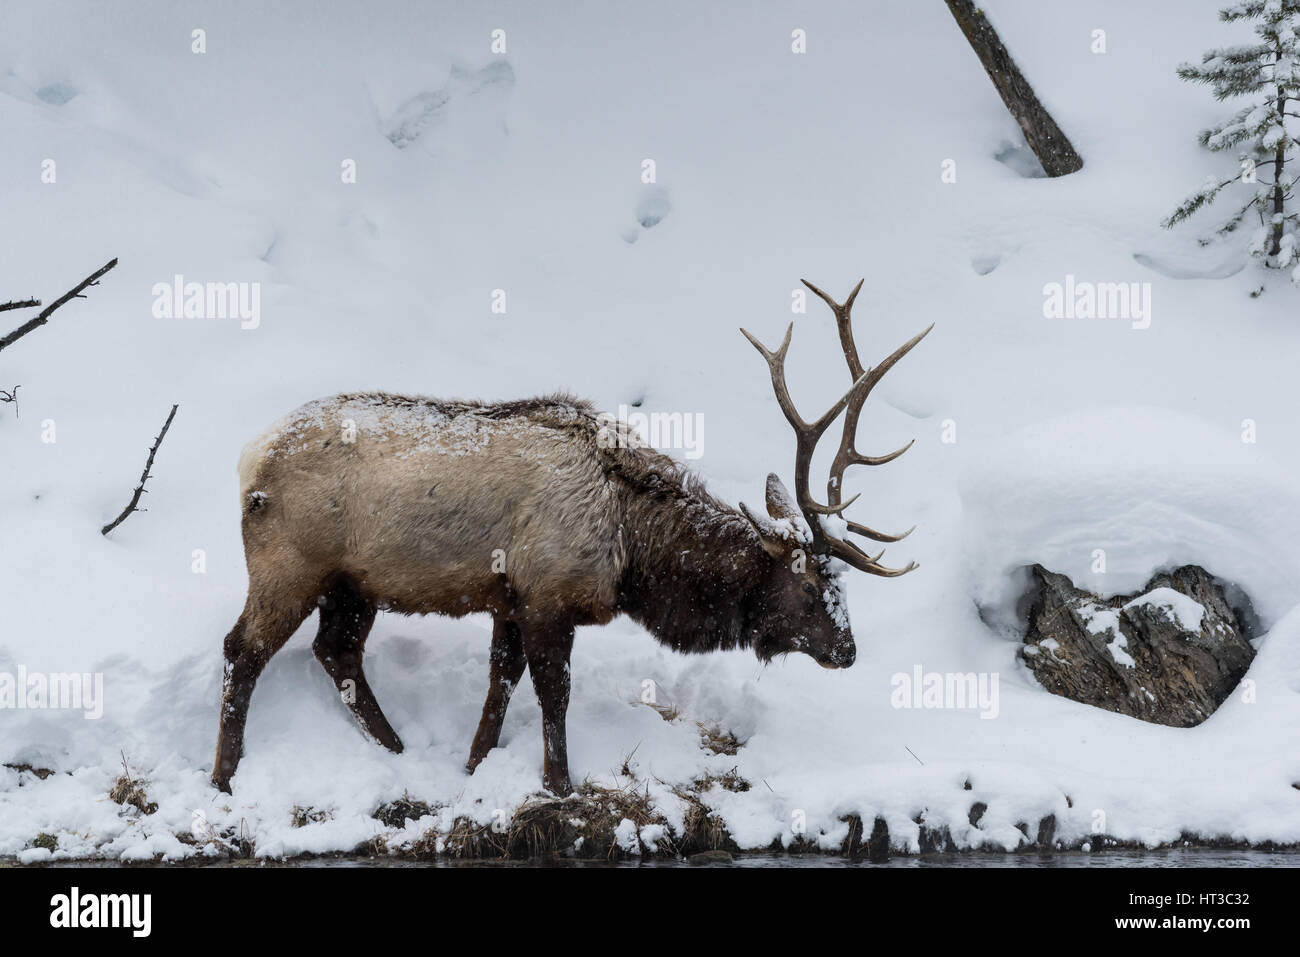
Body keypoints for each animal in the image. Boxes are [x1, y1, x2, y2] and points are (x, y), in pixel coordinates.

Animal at [210, 280, 925, 795]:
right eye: (808, 585)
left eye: (842, 585)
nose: (848, 651)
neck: (633, 554)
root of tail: (248, 458)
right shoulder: (549, 594)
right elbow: (554, 693)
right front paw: (559, 784)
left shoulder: (509, 597)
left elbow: (501, 681)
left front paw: (475, 765)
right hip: (289, 563)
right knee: (243, 648)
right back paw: (223, 776)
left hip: (353, 582)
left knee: (336, 651)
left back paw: (396, 748)